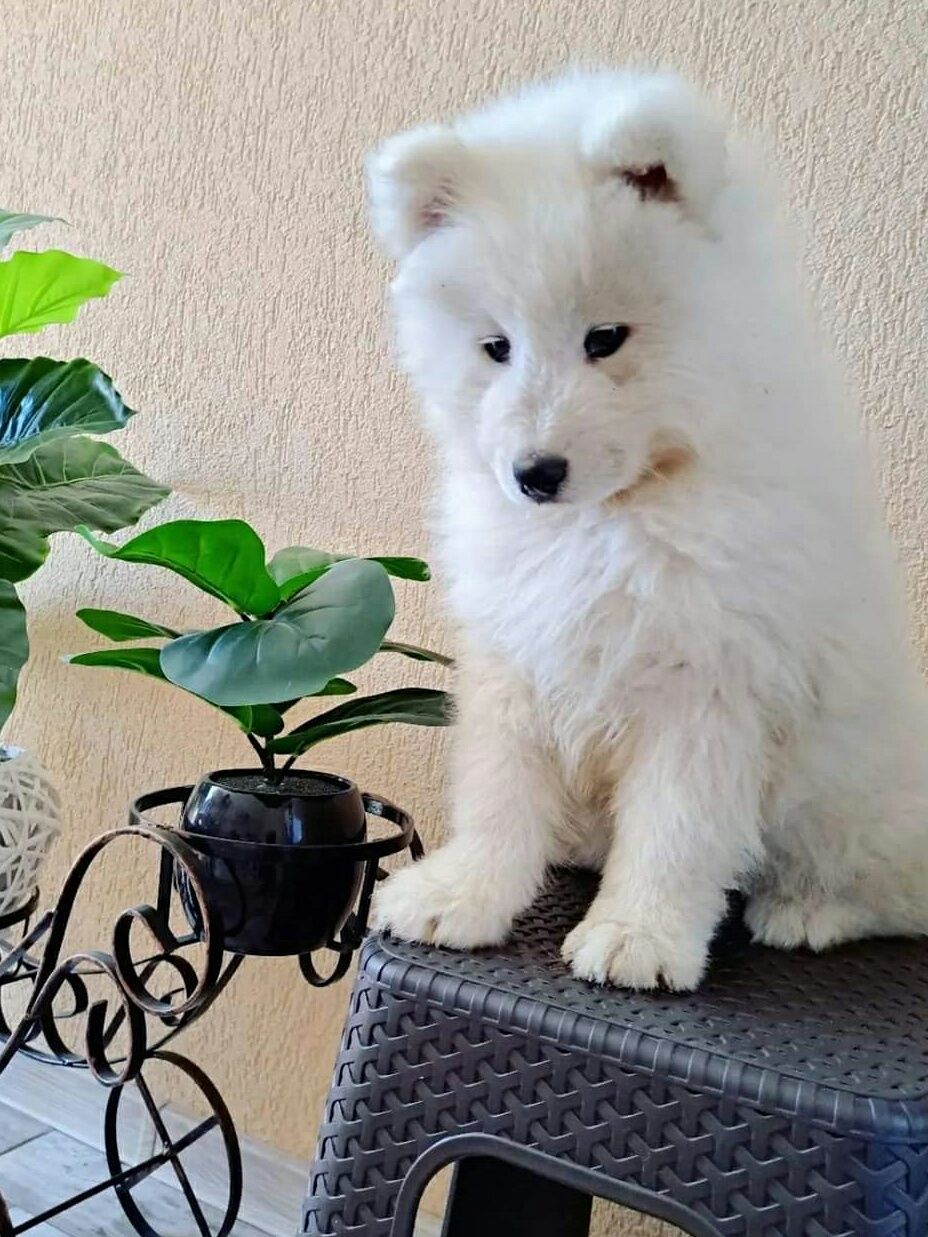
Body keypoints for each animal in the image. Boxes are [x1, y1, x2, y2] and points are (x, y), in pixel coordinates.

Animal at [366, 72, 928, 989]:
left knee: (891, 887)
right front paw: (460, 895)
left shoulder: (705, 684)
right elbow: (496, 798)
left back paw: (807, 911)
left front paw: (638, 937)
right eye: (496, 347)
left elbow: (675, 828)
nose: (535, 473)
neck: (615, 516)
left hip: (847, 790)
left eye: (606, 338)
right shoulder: (515, 656)